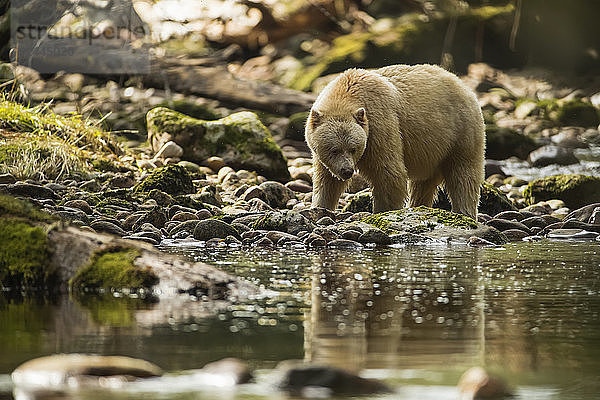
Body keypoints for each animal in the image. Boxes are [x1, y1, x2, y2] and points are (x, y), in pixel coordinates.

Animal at [308, 64, 486, 219]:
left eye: (353, 148)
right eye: (334, 149)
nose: (347, 171)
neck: (344, 95)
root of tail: (464, 86)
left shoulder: (380, 126)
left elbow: (389, 174)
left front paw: (382, 212)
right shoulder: (325, 158)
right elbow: (326, 181)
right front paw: (320, 207)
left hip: (462, 133)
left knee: (463, 176)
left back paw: (465, 213)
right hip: (432, 150)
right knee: (423, 184)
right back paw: (418, 206)